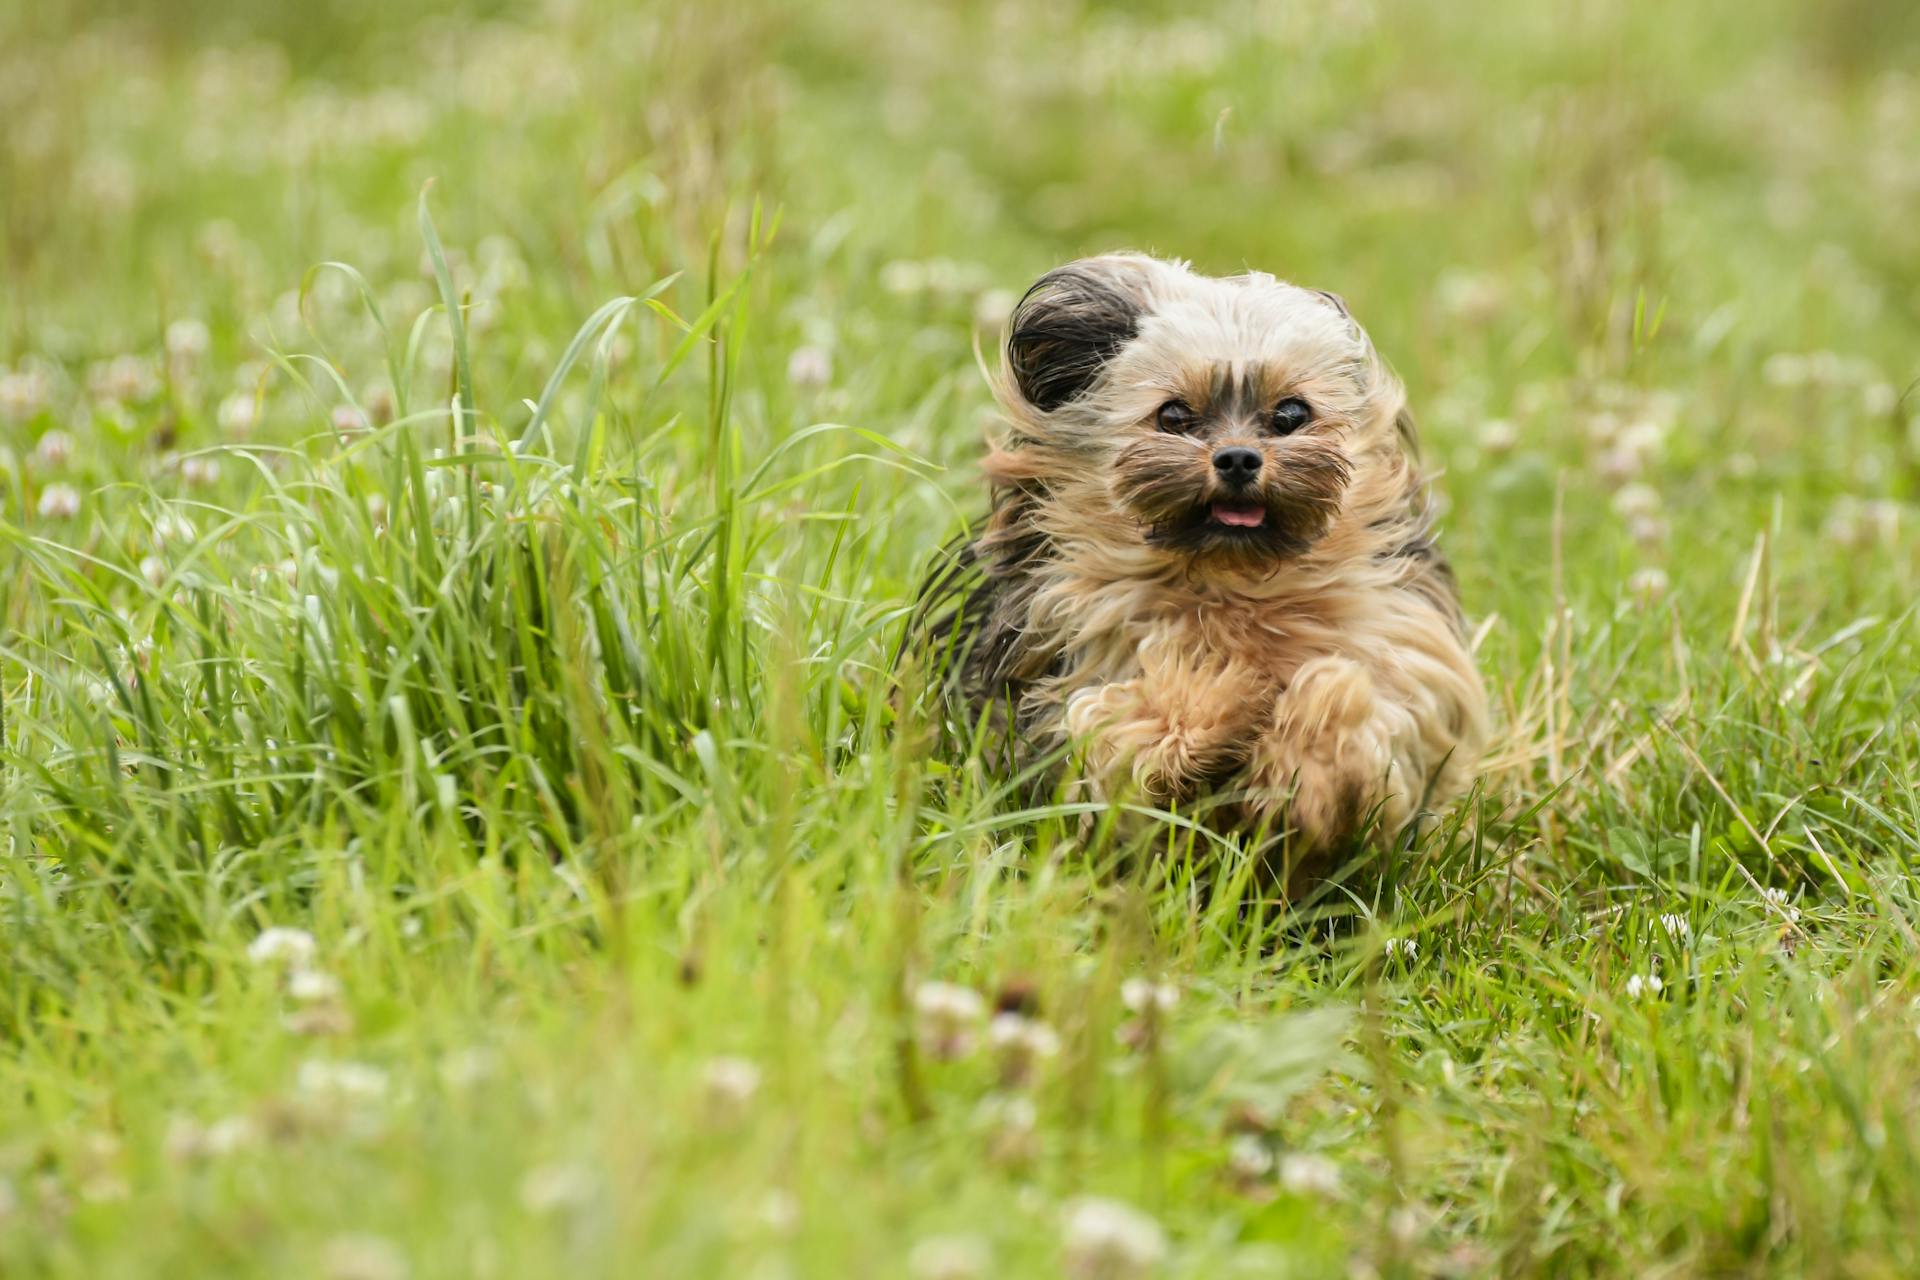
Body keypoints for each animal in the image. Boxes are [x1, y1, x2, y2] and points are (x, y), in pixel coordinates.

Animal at [910, 255, 1482, 886]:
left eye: (1291, 413)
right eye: (1174, 415)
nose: (1237, 458)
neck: (1231, 579)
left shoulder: (1405, 660)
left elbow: (1361, 714)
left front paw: (1306, 761)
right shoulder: (1073, 681)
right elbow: (1123, 729)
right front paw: (1227, 700)